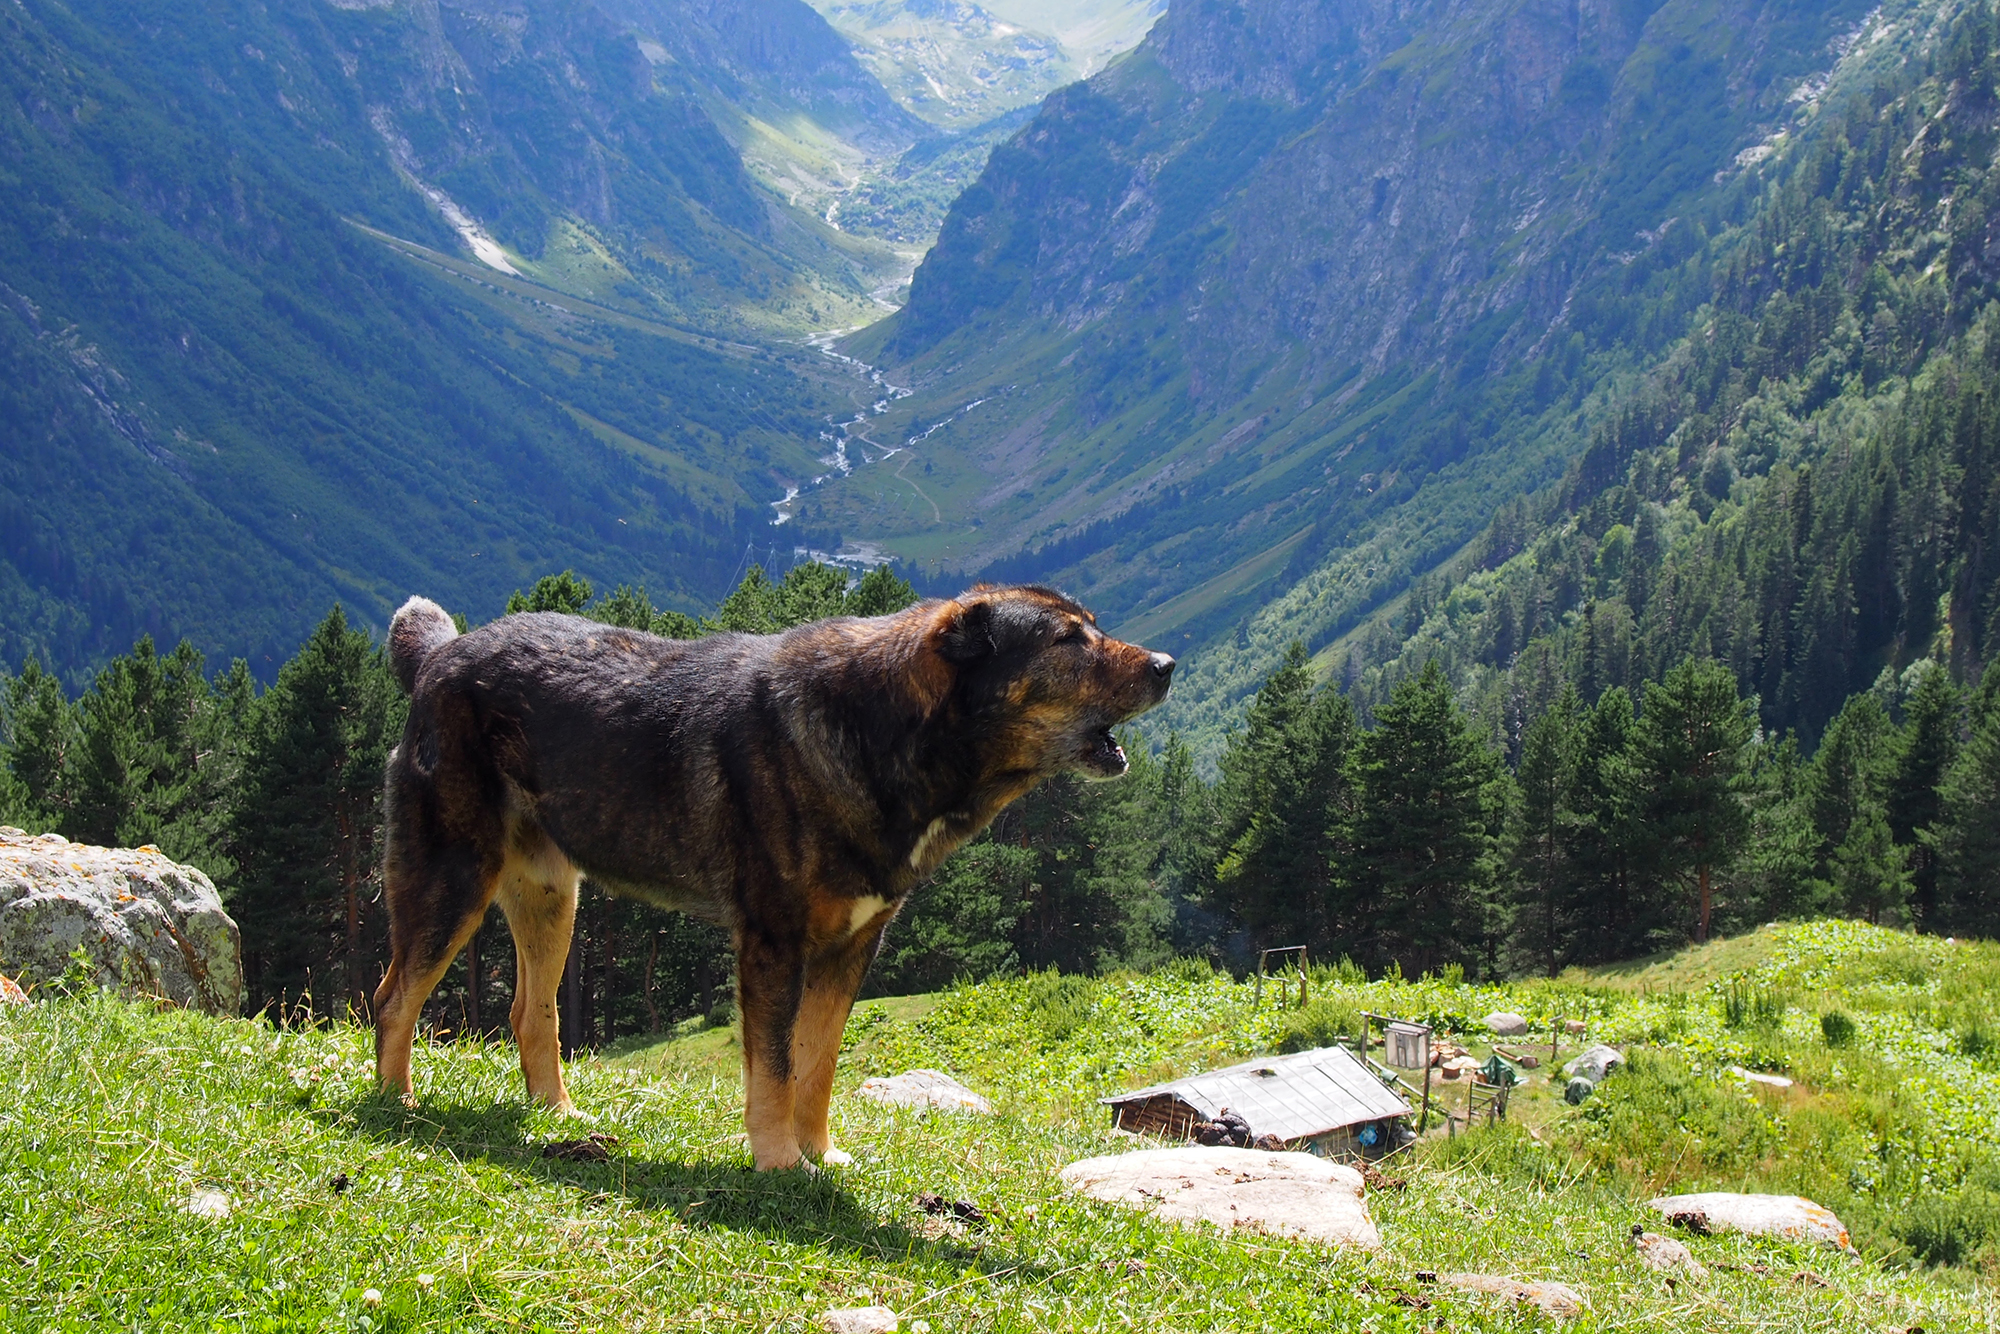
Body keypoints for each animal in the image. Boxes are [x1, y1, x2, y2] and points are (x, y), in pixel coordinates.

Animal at [372, 584, 1168, 1168]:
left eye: (1092, 628)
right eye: (1068, 640)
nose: (1166, 663)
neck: (883, 730)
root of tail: (440, 656)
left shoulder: (851, 948)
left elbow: (817, 1062)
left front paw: (819, 1155)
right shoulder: (773, 943)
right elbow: (778, 1067)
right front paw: (779, 1162)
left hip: (550, 898)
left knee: (529, 1014)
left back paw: (558, 1116)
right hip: (453, 883)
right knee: (391, 998)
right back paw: (396, 1105)